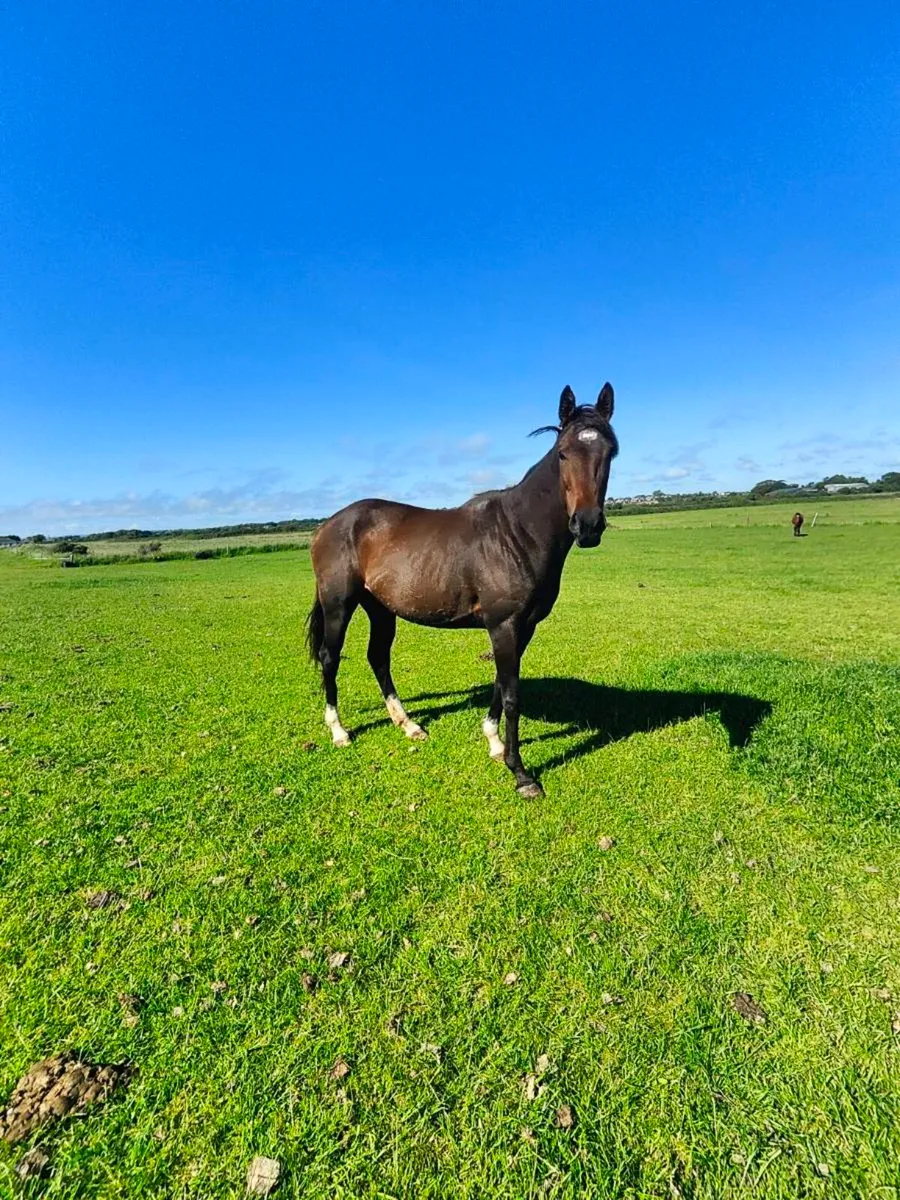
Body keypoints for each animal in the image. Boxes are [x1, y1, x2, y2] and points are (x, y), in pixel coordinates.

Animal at [307, 383, 618, 797]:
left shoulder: (523, 627)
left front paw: (495, 743)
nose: (587, 526)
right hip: (339, 605)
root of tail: (326, 526)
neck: (517, 533)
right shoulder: (504, 624)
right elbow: (512, 694)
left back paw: (408, 725)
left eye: (610, 451)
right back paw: (339, 731)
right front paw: (521, 774)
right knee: (330, 658)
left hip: (380, 608)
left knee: (378, 657)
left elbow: (502, 683)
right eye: (563, 452)